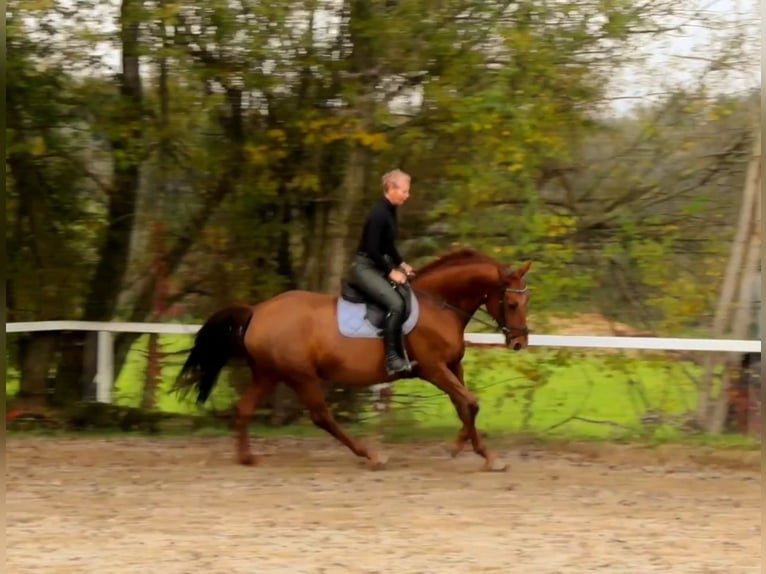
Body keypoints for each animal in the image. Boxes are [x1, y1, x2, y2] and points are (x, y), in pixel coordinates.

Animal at [174, 249, 536, 472]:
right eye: (512, 304)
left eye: (526, 301)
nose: (519, 342)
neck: (440, 305)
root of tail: (257, 311)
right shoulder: (433, 369)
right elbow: (470, 403)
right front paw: (481, 454)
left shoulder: (452, 366)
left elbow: (464, 406)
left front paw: (469, 448)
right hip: (301, 376)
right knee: (322, 416)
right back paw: (371, 455)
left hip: (268, 373)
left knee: (246, 408)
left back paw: (247, 457)